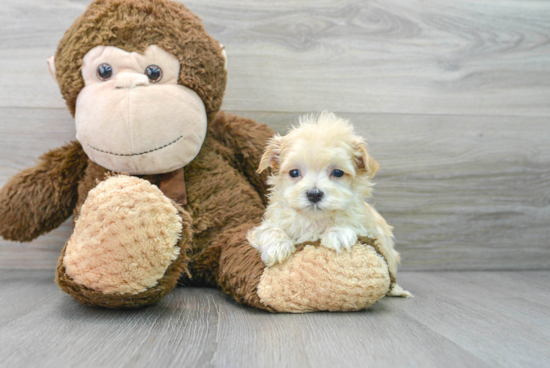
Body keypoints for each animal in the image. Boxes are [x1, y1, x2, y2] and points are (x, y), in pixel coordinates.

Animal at [248, 111, 412, 296]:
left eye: (338, 172)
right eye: (294, 172)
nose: (314, 194)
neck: (315, 219)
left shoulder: (371, 228)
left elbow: (354, 223)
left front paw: (338, 233)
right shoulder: (269, 223)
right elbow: (268, 230)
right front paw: (277, 247)